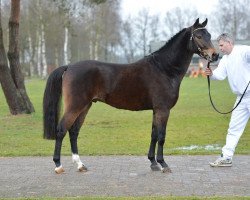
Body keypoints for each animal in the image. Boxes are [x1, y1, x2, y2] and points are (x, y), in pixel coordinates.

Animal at [43, 18, 219, 173]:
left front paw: (153, 163)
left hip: (85, 106)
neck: (164, 69)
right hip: (75, 106)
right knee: (61, 130)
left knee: (73, 132)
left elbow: (154, 135)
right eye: (198, 36)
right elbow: (161, 136)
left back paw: (80, 165)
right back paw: (58, 165)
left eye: (210, 35)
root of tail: (69, 66)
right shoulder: (163, 110)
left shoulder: (156, 110)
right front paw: (163, 164)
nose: (215, 55)